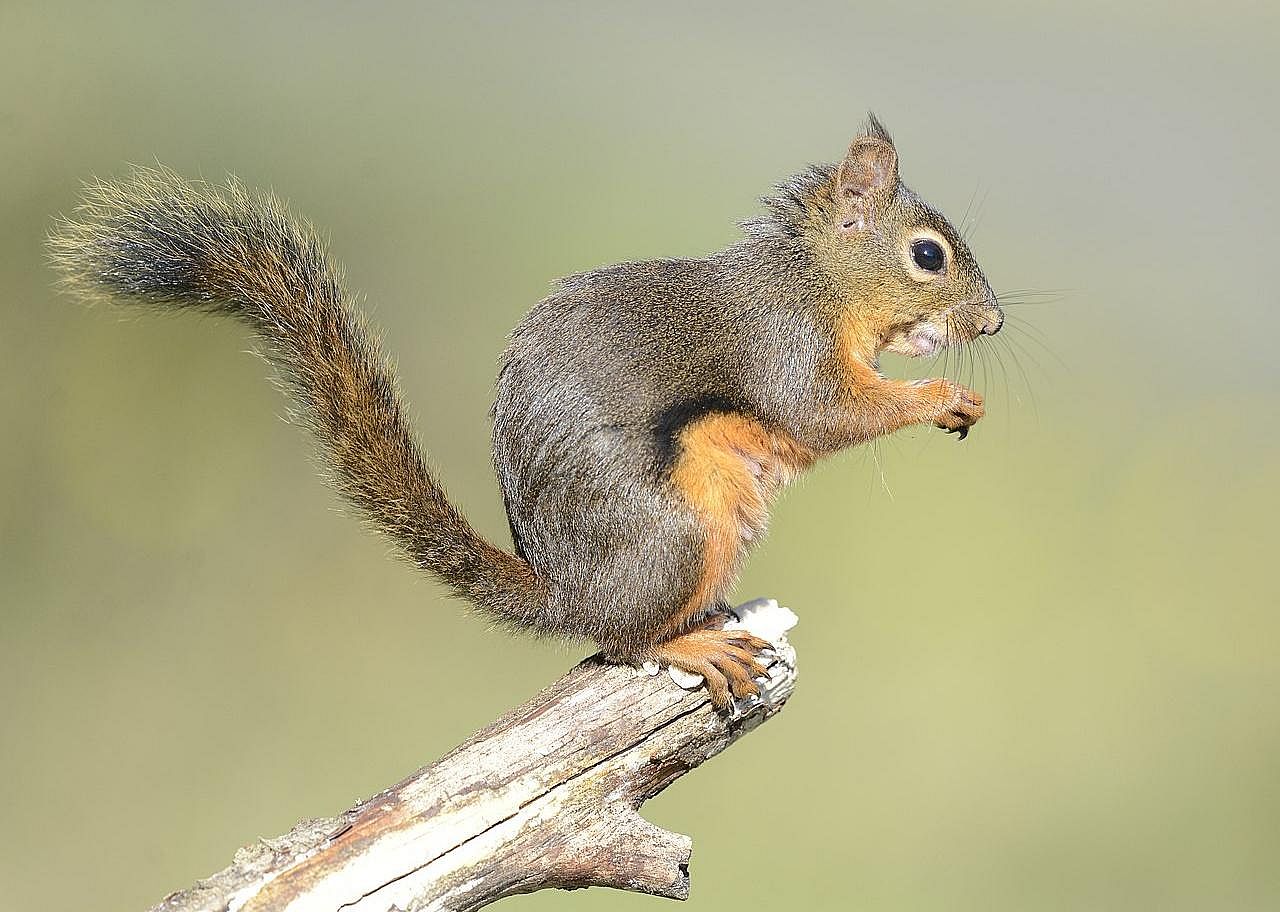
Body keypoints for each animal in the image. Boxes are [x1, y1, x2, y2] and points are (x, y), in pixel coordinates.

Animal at [48, 115, 1001, 709]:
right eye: (928, 256)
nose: (990, 323)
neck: (816, 282)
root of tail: (564, 592)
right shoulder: (783, 348)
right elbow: (829, 415)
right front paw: (942, 397)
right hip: (673, 534)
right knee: (618, 643)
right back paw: (685, 644)